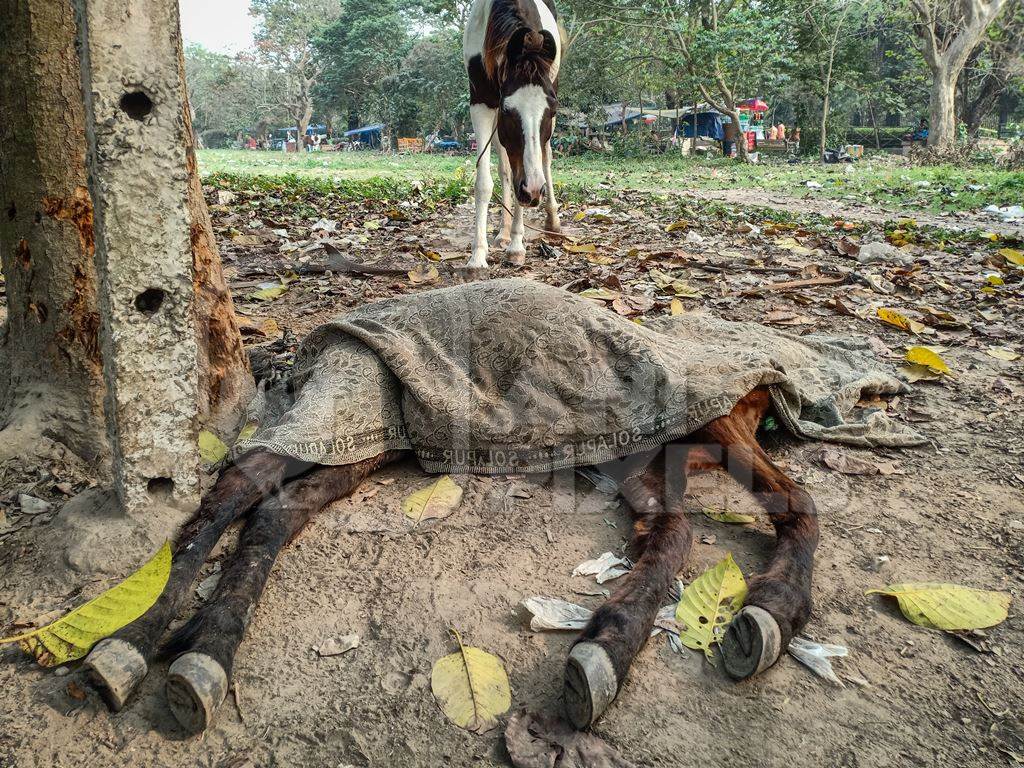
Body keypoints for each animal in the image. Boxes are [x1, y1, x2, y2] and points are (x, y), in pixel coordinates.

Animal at [464, 0, 561, 268]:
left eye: (553, 109)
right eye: (508, 110)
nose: (534, 191)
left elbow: (531, 166)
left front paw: (517, 245)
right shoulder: (482, 102)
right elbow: (485, 183)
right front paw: (478, 255)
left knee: (546, 158)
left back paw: (552, 221)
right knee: (506, 169)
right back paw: (503, 232)